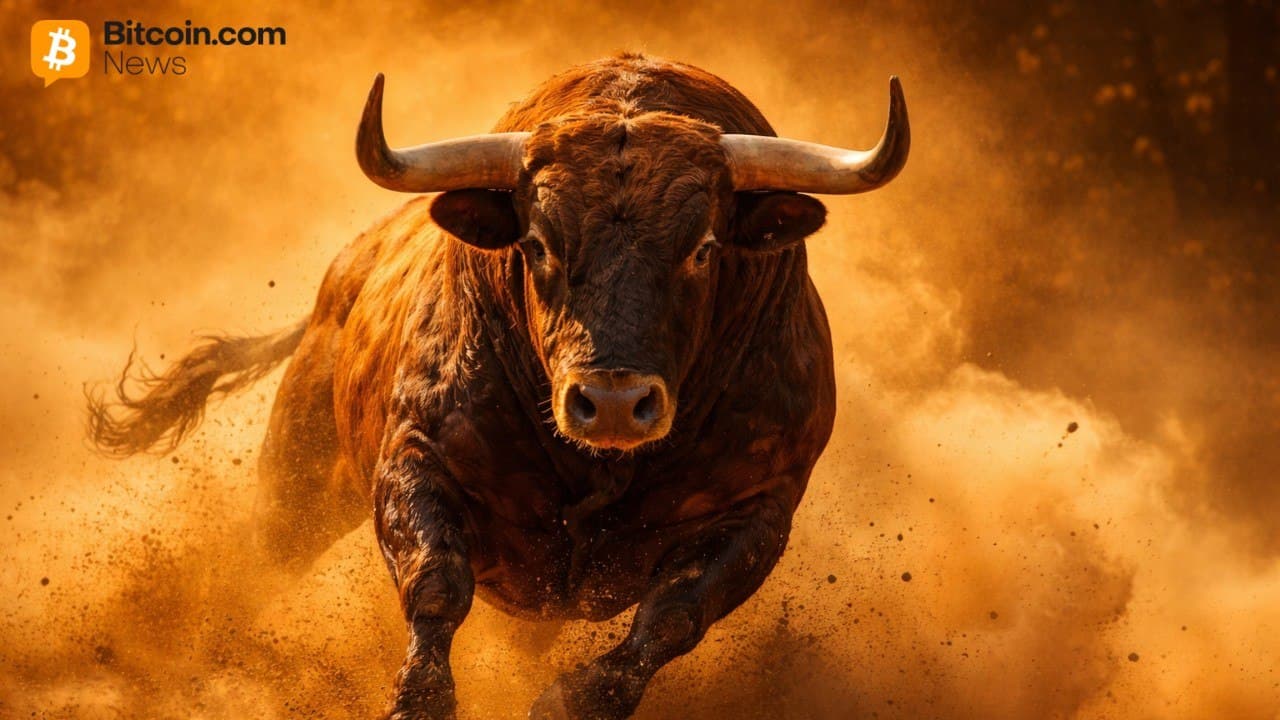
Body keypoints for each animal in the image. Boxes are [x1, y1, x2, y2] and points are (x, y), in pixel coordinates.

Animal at [87, 53, 908, 719]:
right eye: (538, 243)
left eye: (704, 247)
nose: (613, 403)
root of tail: (343, 277)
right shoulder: (416, 459)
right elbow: (435, 582)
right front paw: (417, 701)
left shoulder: (761, 508)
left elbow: (672, 617)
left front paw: (569, 699)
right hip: (299, 482)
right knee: (262, 561)